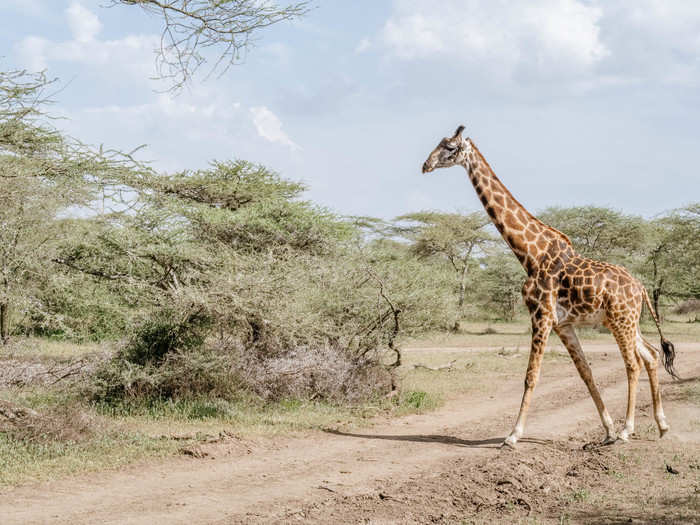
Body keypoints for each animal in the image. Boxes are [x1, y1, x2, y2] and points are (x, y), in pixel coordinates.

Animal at [422, 124, 680, 446]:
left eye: (450, 147)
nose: (425, 165)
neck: (530, 254)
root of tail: (641, 287)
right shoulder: (562, 324)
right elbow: (586, 372)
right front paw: (607, 429)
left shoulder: (541, 315)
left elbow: (531, 375)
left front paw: (513, 435)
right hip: (626, 321)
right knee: (651, 355)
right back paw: (661, 425)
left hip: (621, 321)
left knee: (633, 363)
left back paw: (627, 429)